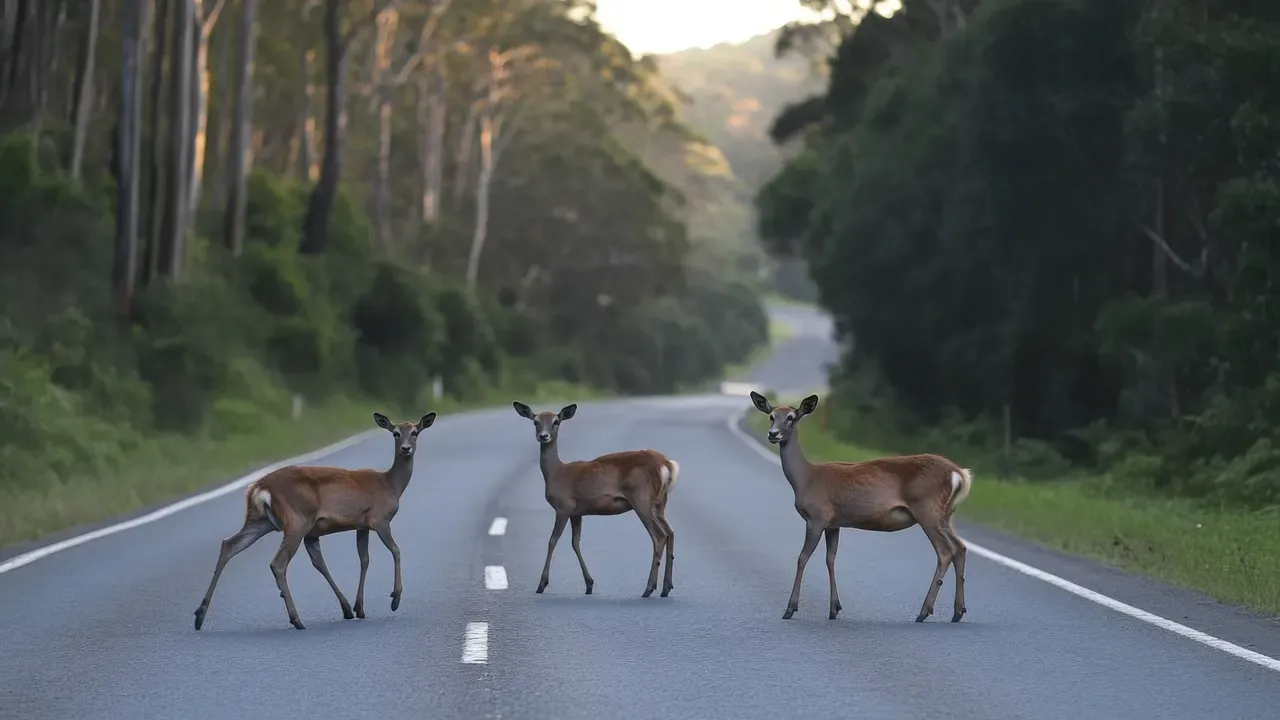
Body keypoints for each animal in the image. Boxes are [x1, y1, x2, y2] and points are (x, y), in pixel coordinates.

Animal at [193, 411, 436, 631]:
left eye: (415, 432)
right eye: (395, 433)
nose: (406, 448)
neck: (391, 485)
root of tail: (260, 488)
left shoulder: (359, 525)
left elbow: (361, 560)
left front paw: (356, 608)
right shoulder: (379, 519)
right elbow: (395, 550)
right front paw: (395, 599)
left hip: (261, 520)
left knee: (229, 544)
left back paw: (199, 616)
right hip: (297, 520)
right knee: (277, 563)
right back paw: (296, 620)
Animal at [511, 401, 679, 598]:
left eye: (556, 422)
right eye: (535, 422)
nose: (543, 436)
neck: (556, 473)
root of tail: (666, 464)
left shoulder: (563, 506)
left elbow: (553, 540)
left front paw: (542, 584)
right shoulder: (577, 512)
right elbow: (575, 542)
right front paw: (589, 584)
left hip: (641, 498)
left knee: (659, 536)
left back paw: (648, 588)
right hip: (659, 503)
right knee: (670, 532)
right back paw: (666, 588)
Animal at [749, 391, 973, 624]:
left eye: (791, 417)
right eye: (771, 416)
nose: (773, 434)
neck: (806, 479)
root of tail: (959, 474)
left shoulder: (817, 517)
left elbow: (802, 558)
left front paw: (790, 609)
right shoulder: (833, 523)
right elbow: (831, 559)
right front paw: (834, 608)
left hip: (927, 509)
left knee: (945, 552)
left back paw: (924, 612)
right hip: (945, 514)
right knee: (960, 548)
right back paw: (957, 612)